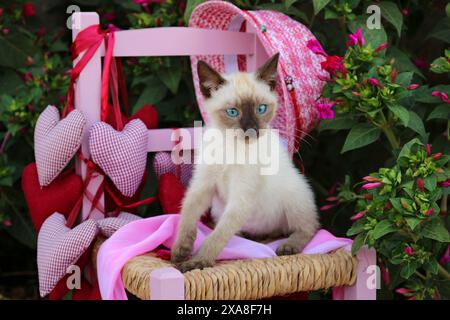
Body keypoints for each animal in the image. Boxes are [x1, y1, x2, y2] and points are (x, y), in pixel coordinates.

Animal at [171, 53, 318, 272]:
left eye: (261, 109)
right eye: (233, 112)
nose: (252, 129)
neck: (232, 146)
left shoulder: (241, 197)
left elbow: (217, 236)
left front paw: (198, 261)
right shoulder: (202, 185)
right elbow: (187, 215)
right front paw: (180, 251)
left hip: (294, 197)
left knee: (309, 227)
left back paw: (287, 246)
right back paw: (251, 236)